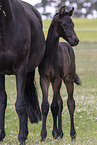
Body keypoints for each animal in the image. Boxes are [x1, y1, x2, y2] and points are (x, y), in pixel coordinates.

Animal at [0, 0, 45, 144]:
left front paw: (21, 138)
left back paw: (24, 133)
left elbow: (20, 105)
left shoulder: (20, 69)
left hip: (28, 71)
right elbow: (2, 100)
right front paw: (1, 135)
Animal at [38, 6, 80, 141]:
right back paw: (60, 133)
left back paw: (72, 134)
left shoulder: (57, 79)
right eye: (64, 24)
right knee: (60, 102)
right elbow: (46, 105)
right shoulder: (44, 79)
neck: (51, 55)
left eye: (73, 24)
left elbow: (54, 106)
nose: (76, 40)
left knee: (70, 103)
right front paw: (44, 135)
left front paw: (54, 133)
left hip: (68, 79)